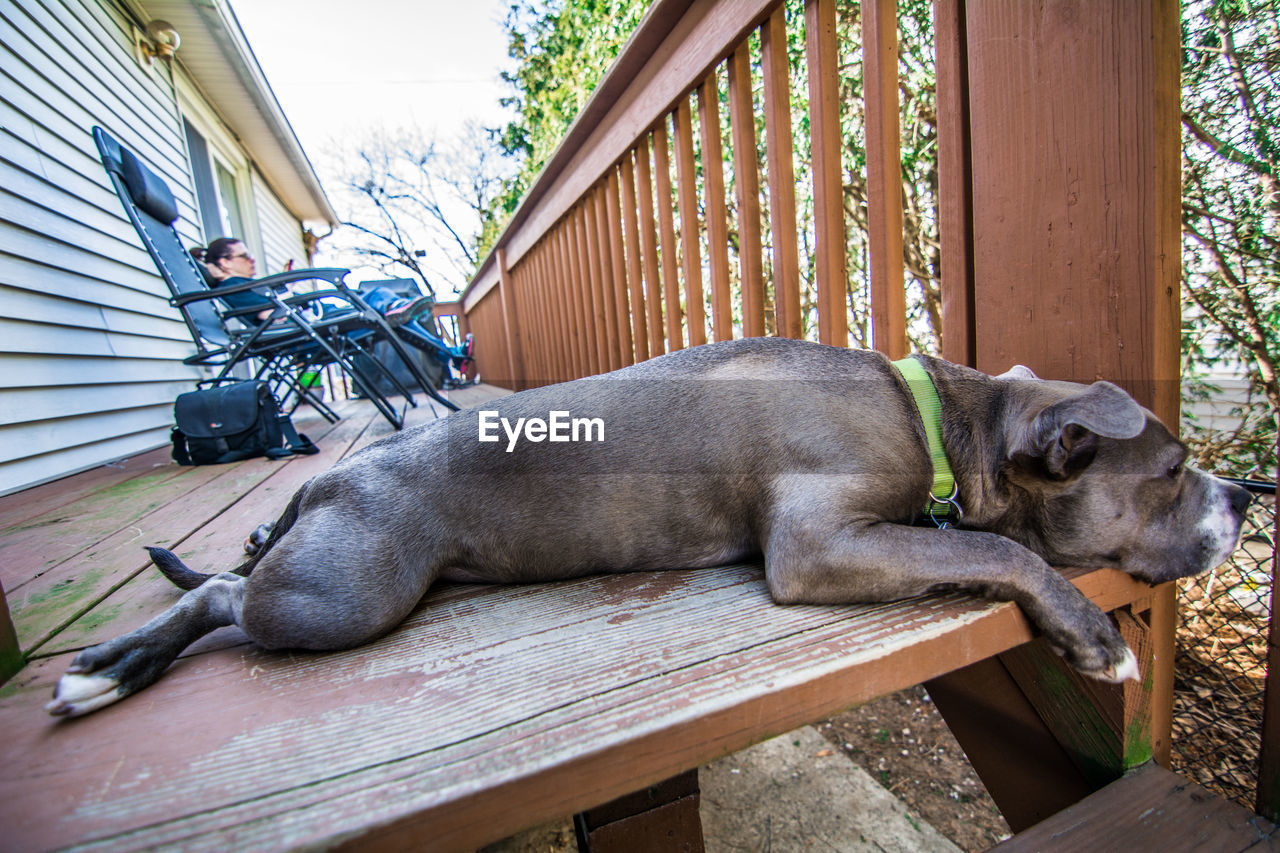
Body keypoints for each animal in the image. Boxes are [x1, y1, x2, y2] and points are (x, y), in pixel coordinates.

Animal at [47, 335, 1249, 712]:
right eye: (1173, 468)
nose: (1244, 499)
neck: (940, 414)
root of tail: (340, 473)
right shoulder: (815, 544)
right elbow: (991, 545)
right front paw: (1087, 635)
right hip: (342, 592)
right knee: (221, 593)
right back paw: (106, 669)